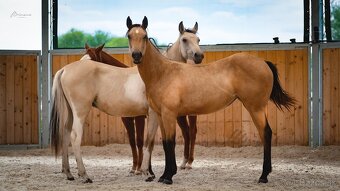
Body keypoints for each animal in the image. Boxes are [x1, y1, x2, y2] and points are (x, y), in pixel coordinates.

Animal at [126, 16, 296, 185]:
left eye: (144, 36)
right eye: (129, 36)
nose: (136, 55)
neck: (163, 72)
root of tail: (263, 62)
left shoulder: (169, 114)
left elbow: (170, 143)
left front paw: (168, 176)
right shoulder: (161, 115)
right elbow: (166, 144)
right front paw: (163, 176)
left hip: (255, 108)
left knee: (265, 133)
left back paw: (263, 176)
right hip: (261, 107)